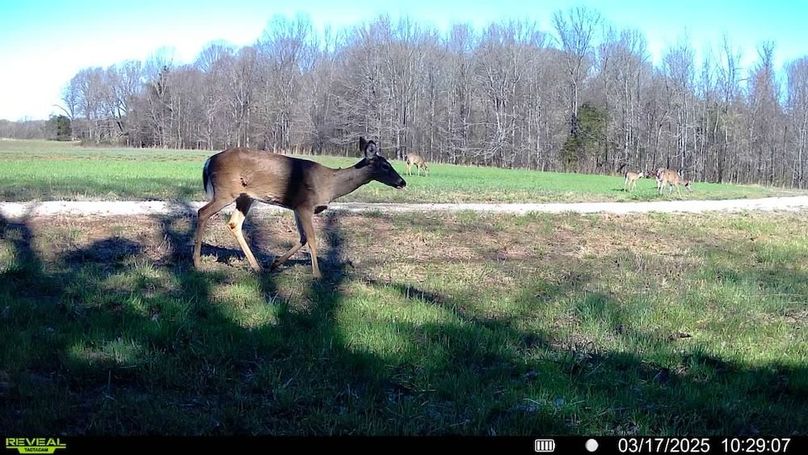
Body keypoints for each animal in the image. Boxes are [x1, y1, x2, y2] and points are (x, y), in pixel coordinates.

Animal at [193, 137, 406, 278]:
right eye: (386, 166)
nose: (402, 182)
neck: (330, 184)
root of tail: (208, 161)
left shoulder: (296, 206)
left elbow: (302, 238)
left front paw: (275, 263)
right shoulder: (305, 204)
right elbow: (311, 238)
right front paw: (317, 274)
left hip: (245, 196)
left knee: (234, 223)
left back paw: (257, 267)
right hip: (225, 191)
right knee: (202, 212)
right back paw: (197, 262)